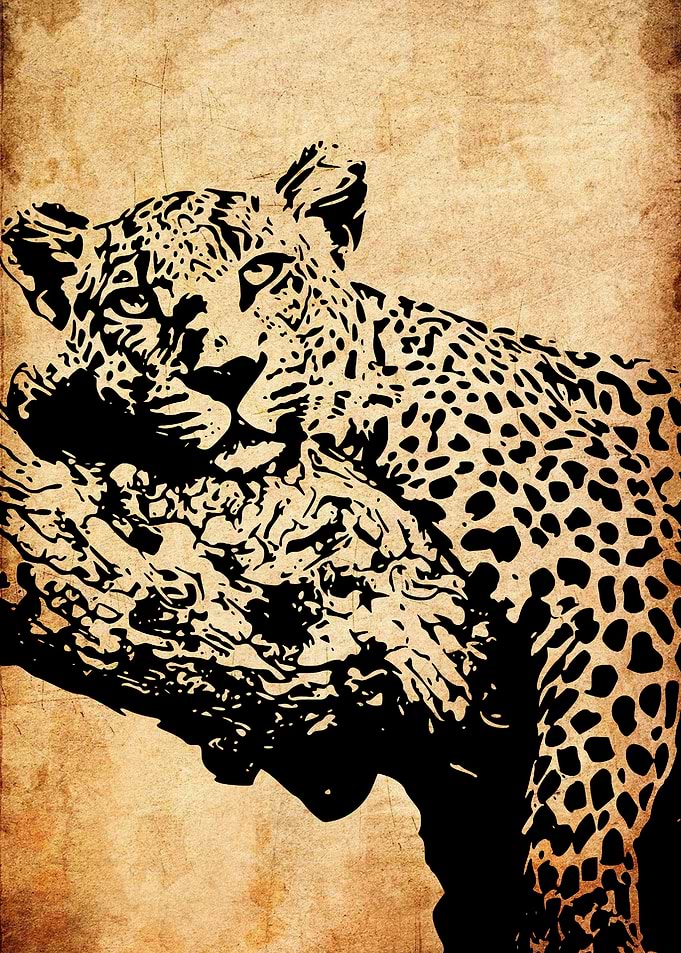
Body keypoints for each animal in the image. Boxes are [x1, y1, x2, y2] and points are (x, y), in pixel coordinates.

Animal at [1, 141, 680, 953]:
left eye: (262, 270)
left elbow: (593, 760)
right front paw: (52, 391)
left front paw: (576, 916)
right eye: (134, 301)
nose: (225, 374)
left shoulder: (612, 538)